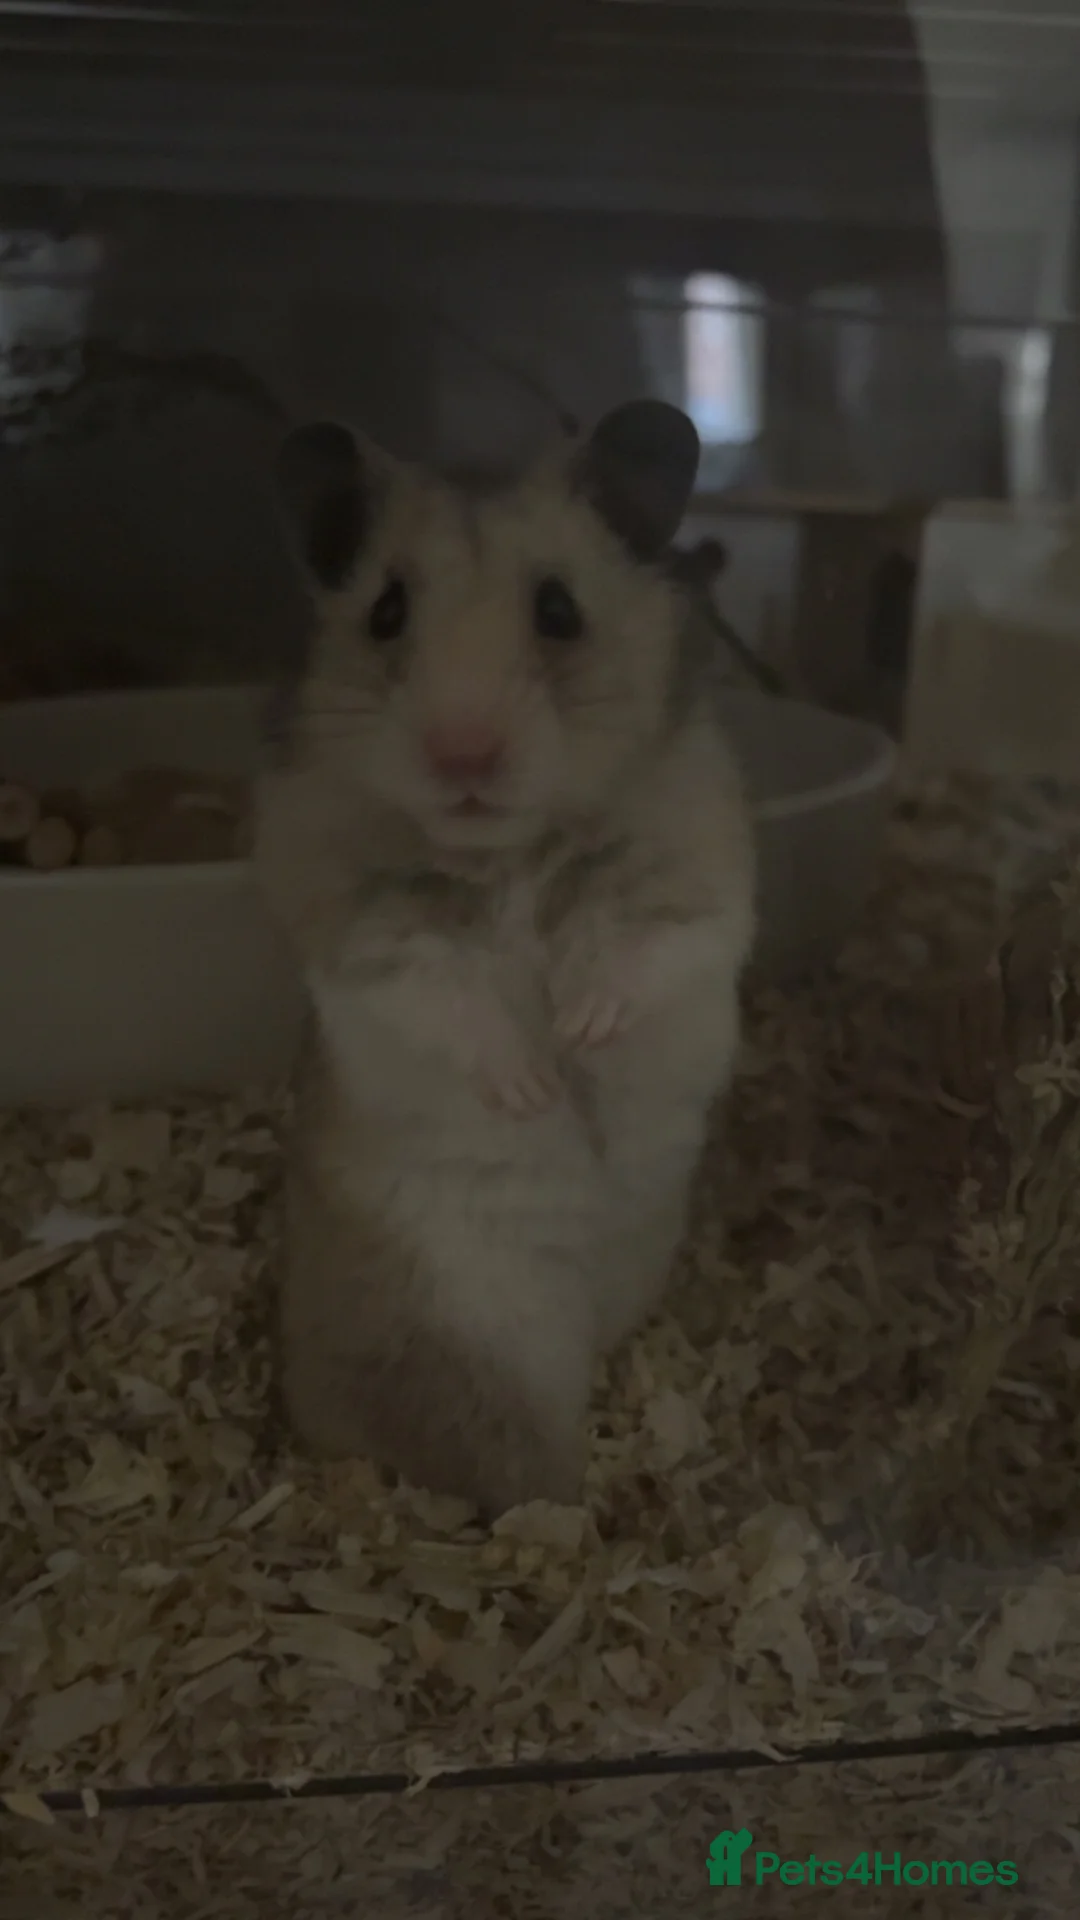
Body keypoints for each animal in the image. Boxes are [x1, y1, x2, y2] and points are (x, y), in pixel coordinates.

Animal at [253, 399, 756, 1517]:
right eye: (386, 611)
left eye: (560, 610)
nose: (464, 755)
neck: (506, 849)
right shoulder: (363, 932)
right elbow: (448, 995)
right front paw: (535, 1087)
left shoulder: (701, 881)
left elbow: (646, 949)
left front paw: (582, 1028)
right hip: (475, 1333)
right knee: (500, 1459)